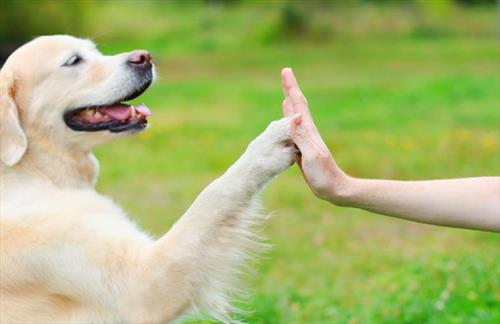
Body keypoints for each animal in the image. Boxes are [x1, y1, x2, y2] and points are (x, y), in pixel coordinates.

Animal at [0, 34, 296, 322]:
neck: (35, 171)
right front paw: (270, 143)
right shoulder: (142, 284)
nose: (144, 57)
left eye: (96, 50)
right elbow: (215, 194)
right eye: (73, 60)